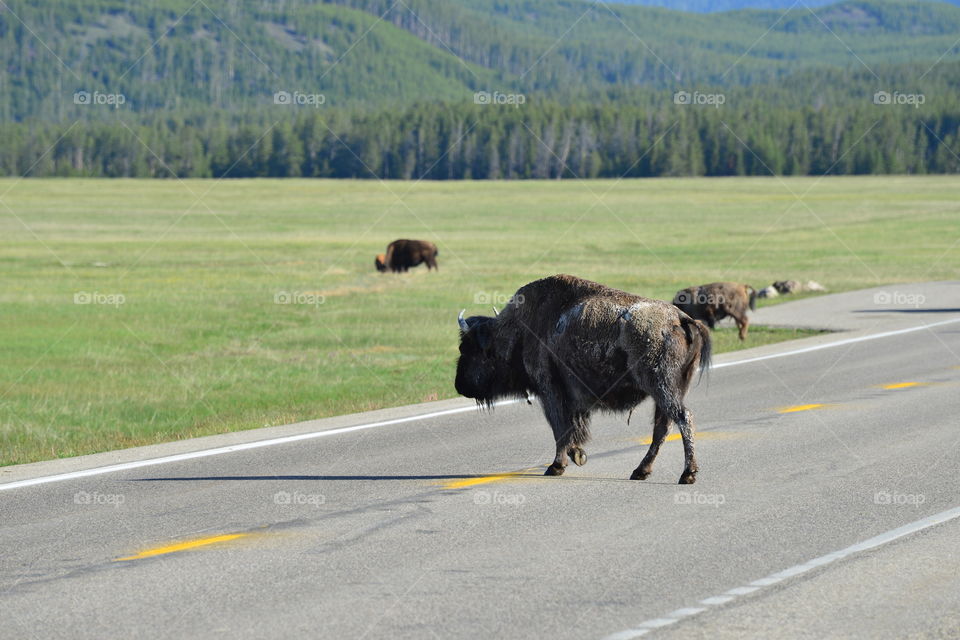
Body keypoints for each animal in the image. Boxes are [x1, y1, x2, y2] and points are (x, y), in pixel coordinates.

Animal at [455, 274, 711, 484]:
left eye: (468, 349)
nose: (459, 385)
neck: (520, 328)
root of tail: (680, 318)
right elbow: (570, 428)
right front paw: (576, 455)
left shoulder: (550, 391)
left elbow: (561, 428)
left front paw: (558, 465)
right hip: (669, 391)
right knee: (663, 427)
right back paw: (640, 472)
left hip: (661, 387)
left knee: (683, 418)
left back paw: (687, 474)